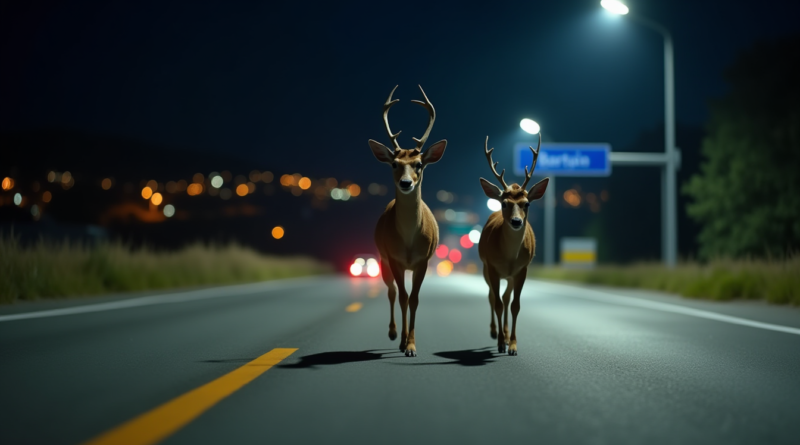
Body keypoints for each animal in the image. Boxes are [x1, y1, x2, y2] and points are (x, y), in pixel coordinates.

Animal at [368, 85, 447, 357]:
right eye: (394, 163)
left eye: (419, 163)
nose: (405, 183)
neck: (410, 241)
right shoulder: (395, 258)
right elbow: (402, 297)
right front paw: (404, 341)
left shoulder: (423, 260)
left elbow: (414, 299)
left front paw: (412, 345)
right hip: (383, 259)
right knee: (392, 292)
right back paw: (395, 335)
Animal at [478, 134, 548, 356]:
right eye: (504, 203)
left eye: (527, 203)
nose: (516, 222)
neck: (509, 257)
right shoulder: (492, 267)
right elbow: (498, 304)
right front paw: (501, 343)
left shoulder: (522, 269)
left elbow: (515, 305)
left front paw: (513, 345)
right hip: (486, 269)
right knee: (493, 297)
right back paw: (495, 333)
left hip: (509, 276)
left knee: (506, 297)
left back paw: (508, 335)